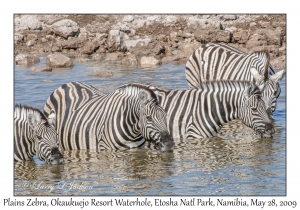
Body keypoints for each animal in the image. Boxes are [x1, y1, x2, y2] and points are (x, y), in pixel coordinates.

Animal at [42, 81, 173, 152]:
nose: (169, 144)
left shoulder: (136, 150)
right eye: (149, 118)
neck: (132, 131)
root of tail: (66, 84)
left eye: (165, 116)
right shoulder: (105, 150)